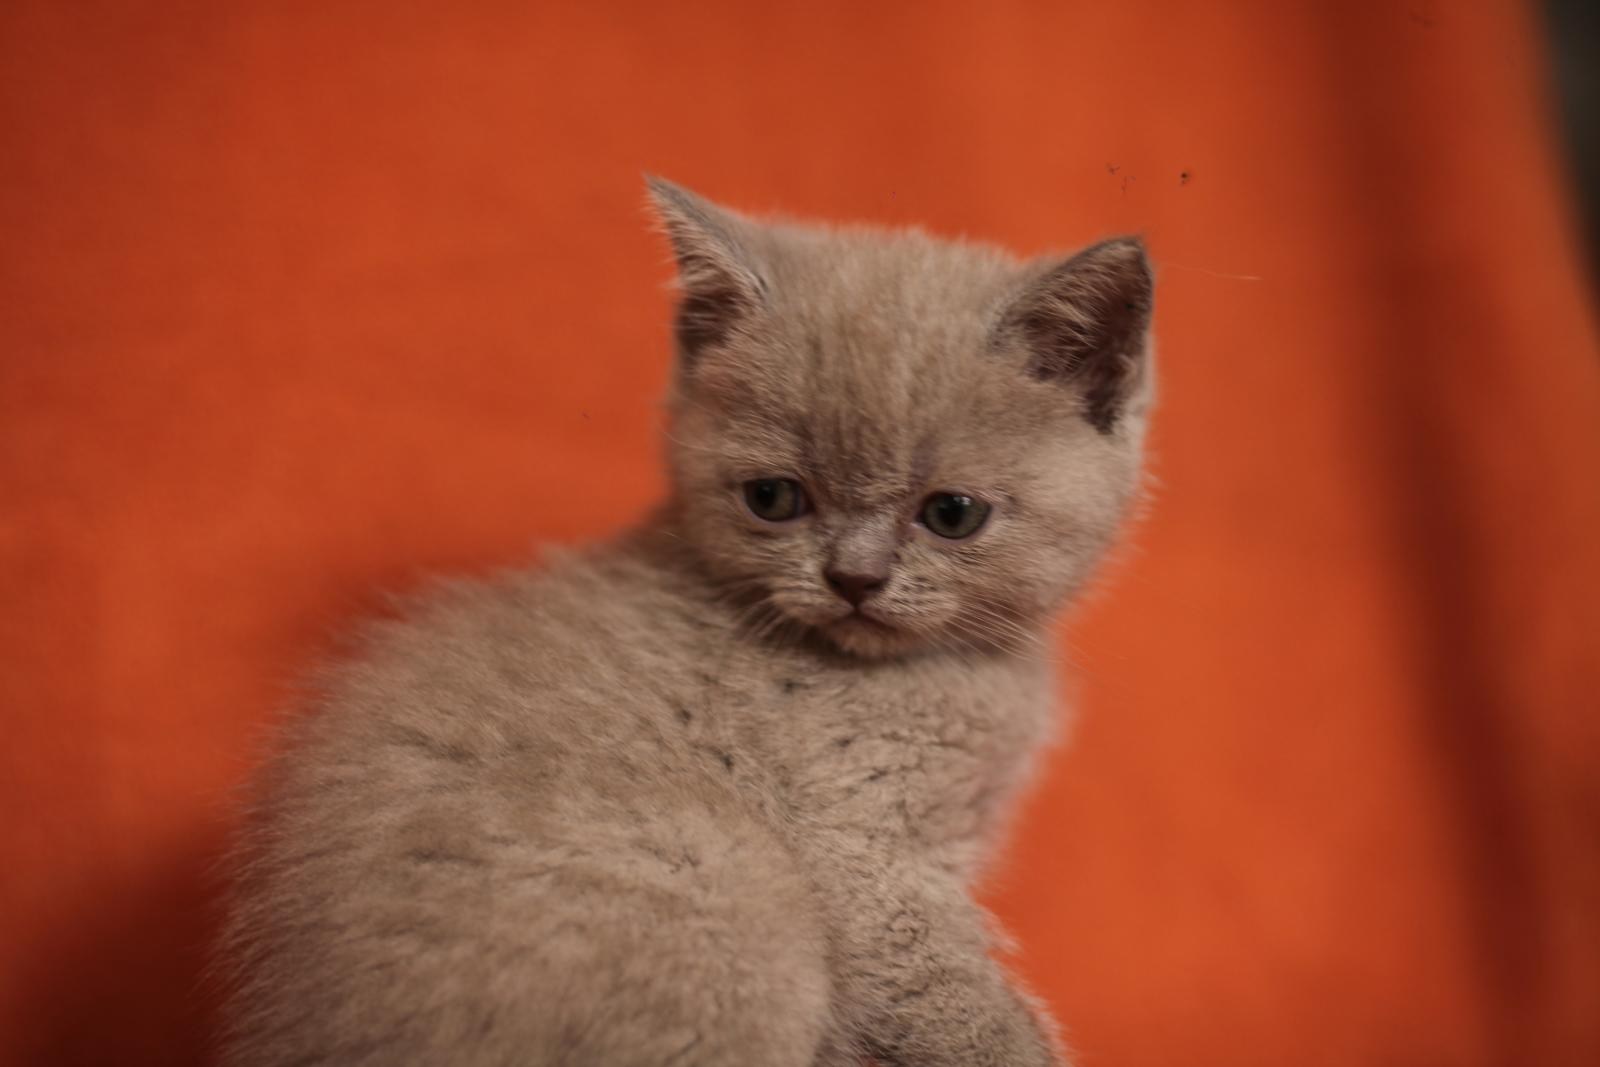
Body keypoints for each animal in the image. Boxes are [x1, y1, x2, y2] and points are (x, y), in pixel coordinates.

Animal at [219, 181, 1158, 1067]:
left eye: (952, 514)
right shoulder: (862, 852)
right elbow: (961, 1002)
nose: (854, 577)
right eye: (773, 498)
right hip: (735, 916)